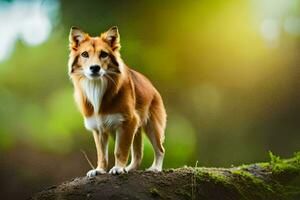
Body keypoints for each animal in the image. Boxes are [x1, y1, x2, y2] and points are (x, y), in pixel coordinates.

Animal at [67, 25, 166, 177]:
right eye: (84, 54)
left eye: (103, 54)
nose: (95, 68)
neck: (97, 87)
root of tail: (150, 84)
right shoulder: (98, 128)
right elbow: (102, 154)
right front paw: (99, 170)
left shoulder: (128, 122)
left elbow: (120, 150)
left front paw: (118, 168)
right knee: (138, 155)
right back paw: (129, 169)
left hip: (152, 126)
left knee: (160, 149)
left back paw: (155, 168)